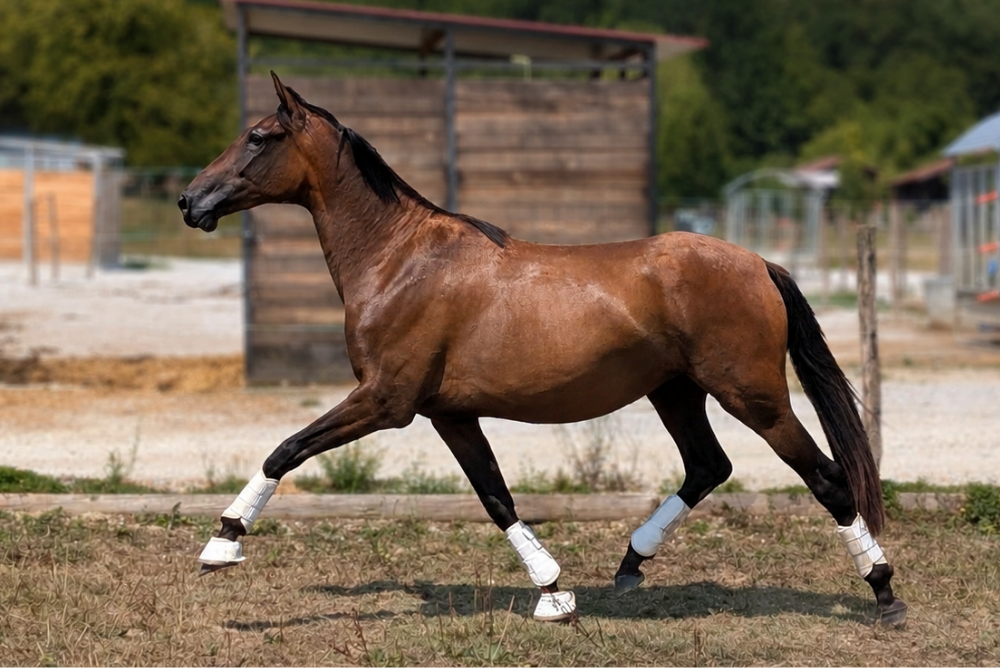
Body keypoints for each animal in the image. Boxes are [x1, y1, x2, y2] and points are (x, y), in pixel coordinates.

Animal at [178, 72, 906, 626]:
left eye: (258, 137)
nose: (190, 200)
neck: (400, 261)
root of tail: (758, 263)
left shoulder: (385, 401)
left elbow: (285, 450)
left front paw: (222, 543)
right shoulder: (449, 414)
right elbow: (496, 498)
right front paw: (554, 593)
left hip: (753, 396)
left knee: (827, 478)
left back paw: (884, 591)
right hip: (675, 391)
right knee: (708, 466)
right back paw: (630, 565)